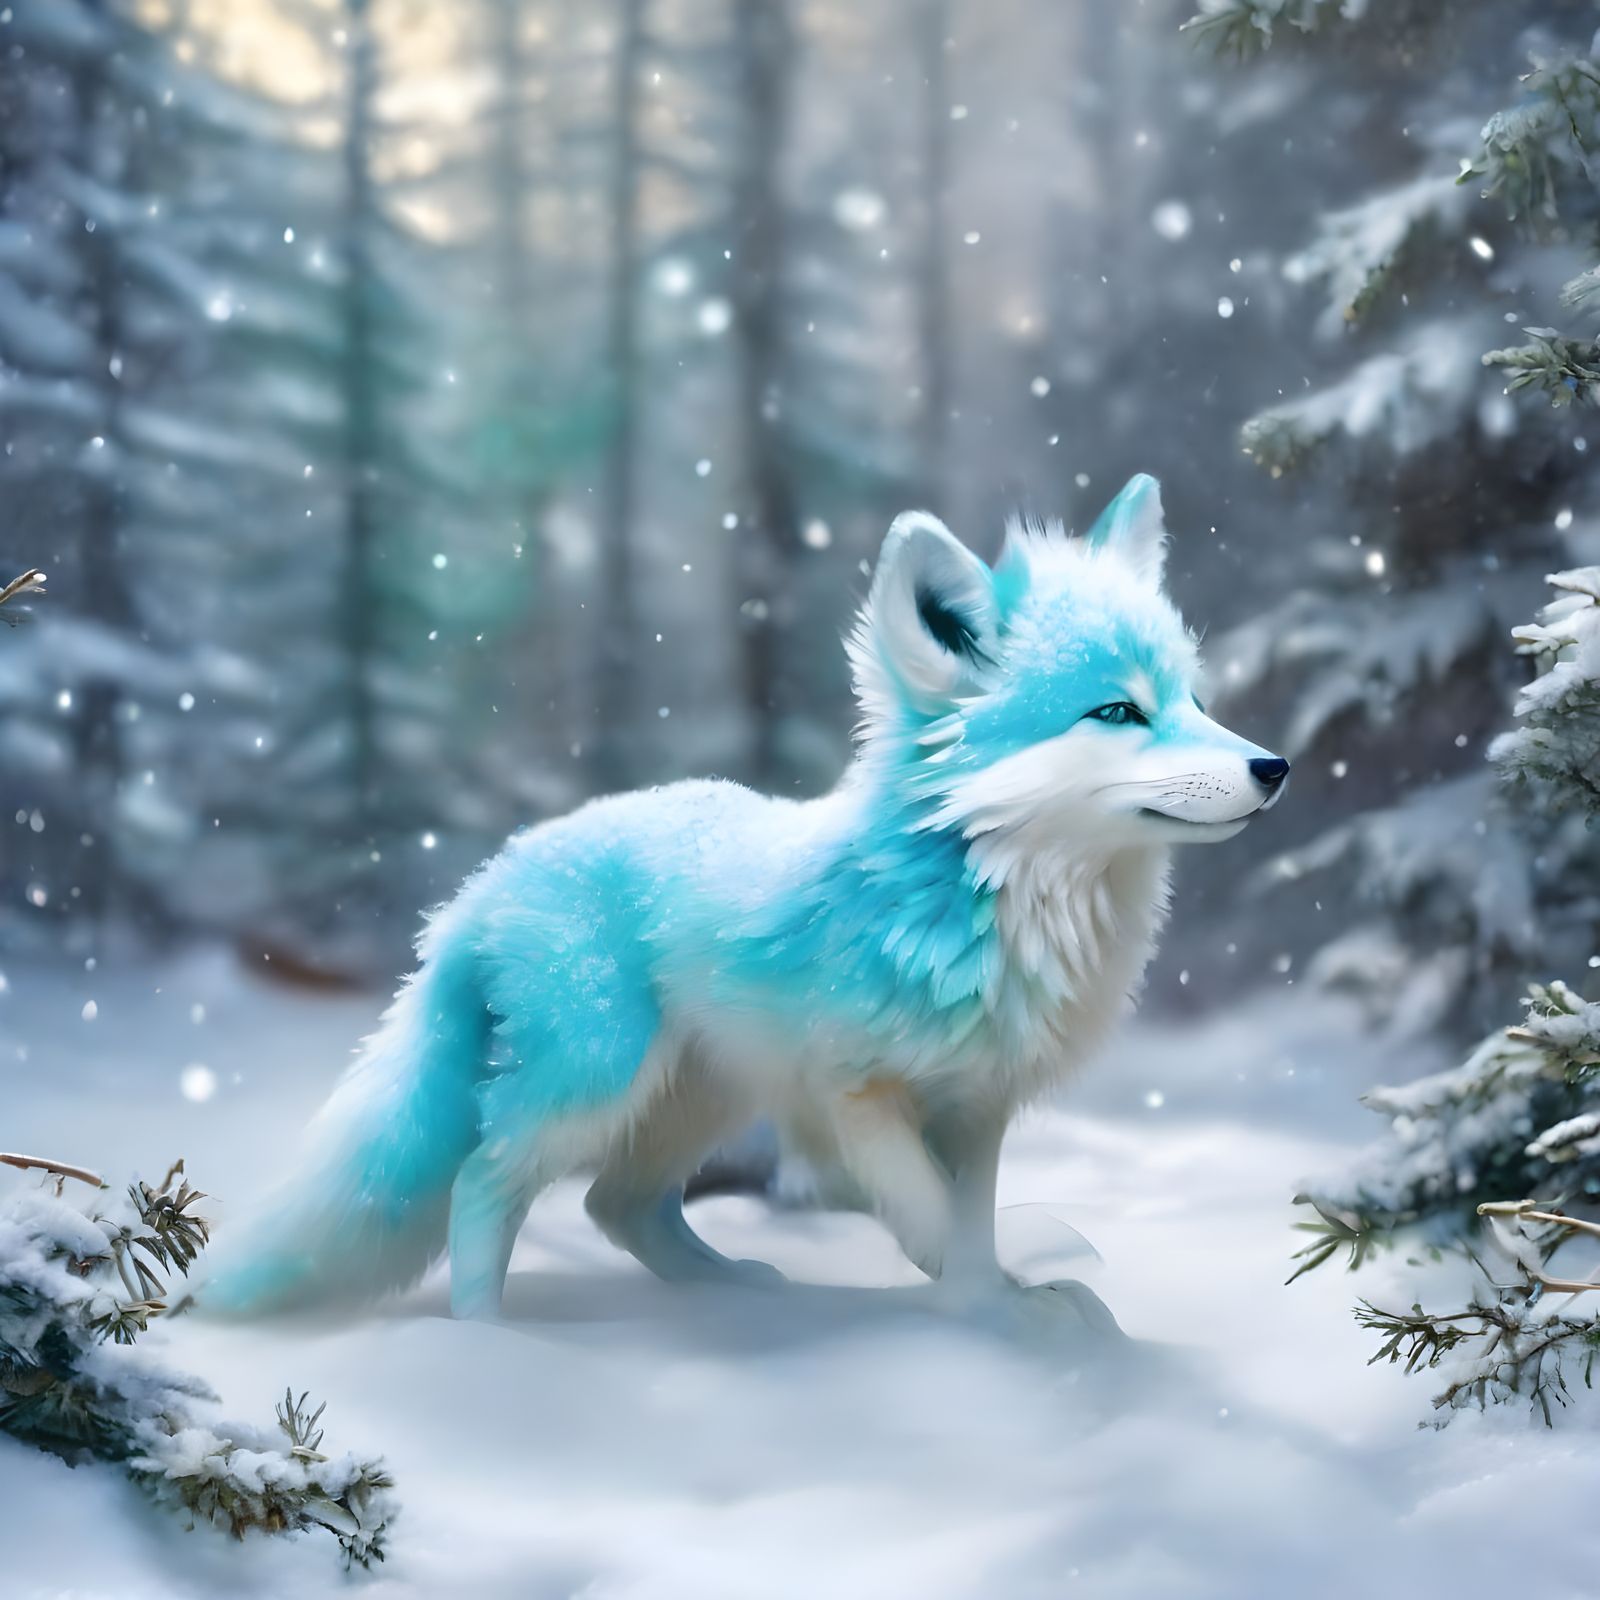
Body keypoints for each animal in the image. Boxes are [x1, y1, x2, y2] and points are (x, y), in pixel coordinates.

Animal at [204, 475, 1288, 1324]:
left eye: (1193, 701)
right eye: (1117, 709)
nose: (1274, 767)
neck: (989, 904)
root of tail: (489, 878)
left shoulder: (978, 1106)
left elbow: (969, 1221)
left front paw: (999, 1306)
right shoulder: (851, 1094)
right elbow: (931, 1220)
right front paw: (1000, 1317)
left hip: (699, 1097)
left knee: (617, 1206)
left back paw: (733, 1295)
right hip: (597, 1079)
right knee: (485, 1178)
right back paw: (486, 1341)